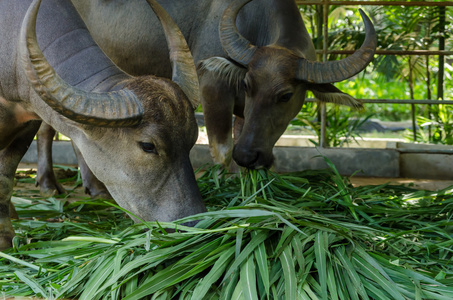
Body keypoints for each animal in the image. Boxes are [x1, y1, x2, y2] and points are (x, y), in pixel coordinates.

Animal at [35, 0, 376, 195]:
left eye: (286, 95)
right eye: (248, 84)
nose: (249, 155)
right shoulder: (213, 88)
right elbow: (222, 148)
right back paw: (55, 183)